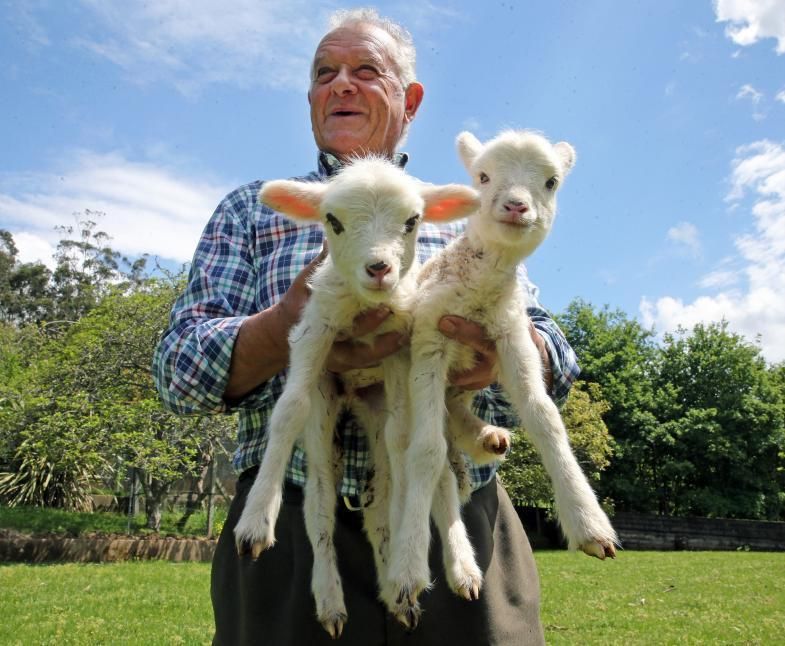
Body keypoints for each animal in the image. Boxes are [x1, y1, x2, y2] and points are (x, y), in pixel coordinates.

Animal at [230, 158, 480, 644]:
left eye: (412, 221)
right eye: (333, 221)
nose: (379, 268)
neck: (365, 306)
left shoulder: (399, 348)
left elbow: (406, 440)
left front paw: (406, 559)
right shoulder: (314, 329)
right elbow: (287, 412)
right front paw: (254, 521)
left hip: (377, 405)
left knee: (388, 491)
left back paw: (414, 583)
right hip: (326, 405)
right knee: (320, 506)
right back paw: (331, 599)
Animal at [388, 130, 620, 624]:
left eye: (551, 181)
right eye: (482, 176)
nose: (516, 206)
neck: (479, 293)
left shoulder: (512, 337)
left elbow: (545, 417)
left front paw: (590, 524)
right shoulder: (429, 341)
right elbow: (425, 453)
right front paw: (408, 570)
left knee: (453, 430)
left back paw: (486, 437)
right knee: (423, 456)